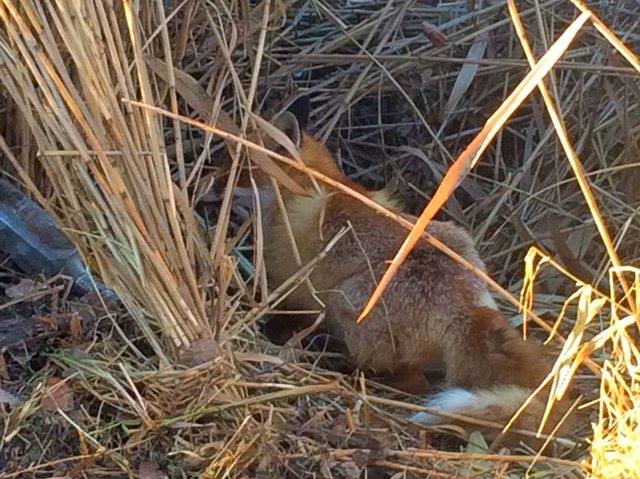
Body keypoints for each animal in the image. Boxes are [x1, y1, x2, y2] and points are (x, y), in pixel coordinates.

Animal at [249, 96, 576, 442]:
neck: (313, 179)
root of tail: (466, 307)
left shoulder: (290, 284)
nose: (224, 175)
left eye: (242, 164)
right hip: (456, 240)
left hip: (347, 301)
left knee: (410, 380)